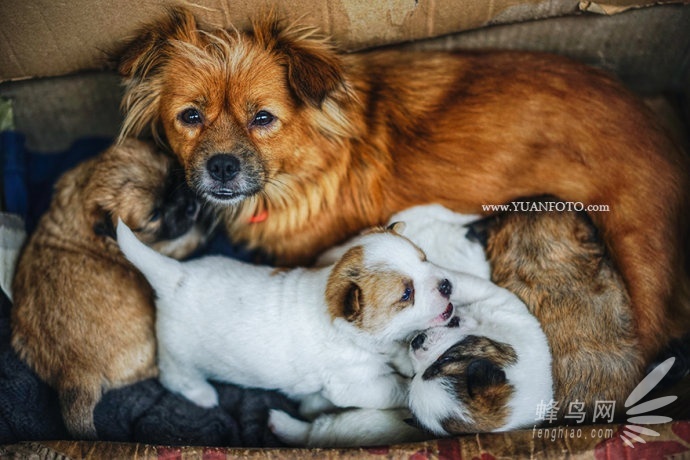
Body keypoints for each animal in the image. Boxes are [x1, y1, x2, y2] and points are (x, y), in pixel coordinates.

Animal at [10, 139, 214, 438]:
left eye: (172, 176)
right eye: (154, 215)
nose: (191, 206)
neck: (84, 194)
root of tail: (74, 373)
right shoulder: (160, 246)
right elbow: (182, 241)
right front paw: (205, 224)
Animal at [115, 221, 454, 412]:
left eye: (424, 259)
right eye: (406, 294)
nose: (448, 284)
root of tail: (176, 276)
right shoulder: (352, 384)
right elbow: (396, 388)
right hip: (180, 358)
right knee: (176, 378)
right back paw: (203, 395)